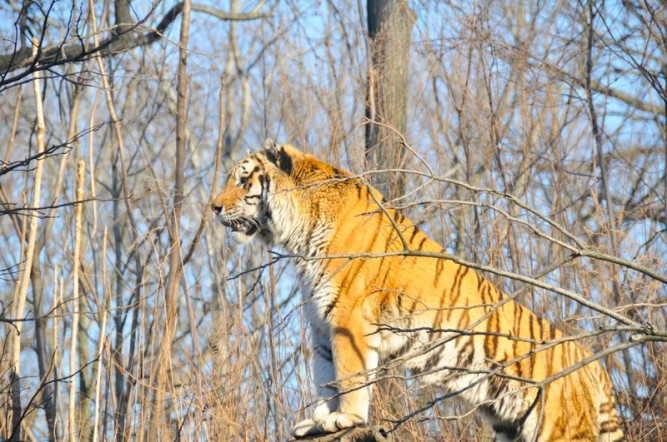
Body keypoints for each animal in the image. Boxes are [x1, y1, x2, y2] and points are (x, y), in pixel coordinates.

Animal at [211, 140, 624, 441]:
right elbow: (327, 378)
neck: (299, 235)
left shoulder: (348, 318)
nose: (213, 207)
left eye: (242, 180)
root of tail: (595, 365)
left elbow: (349, 377)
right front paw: (320, 420)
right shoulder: (321, 327)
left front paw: (346, 418)